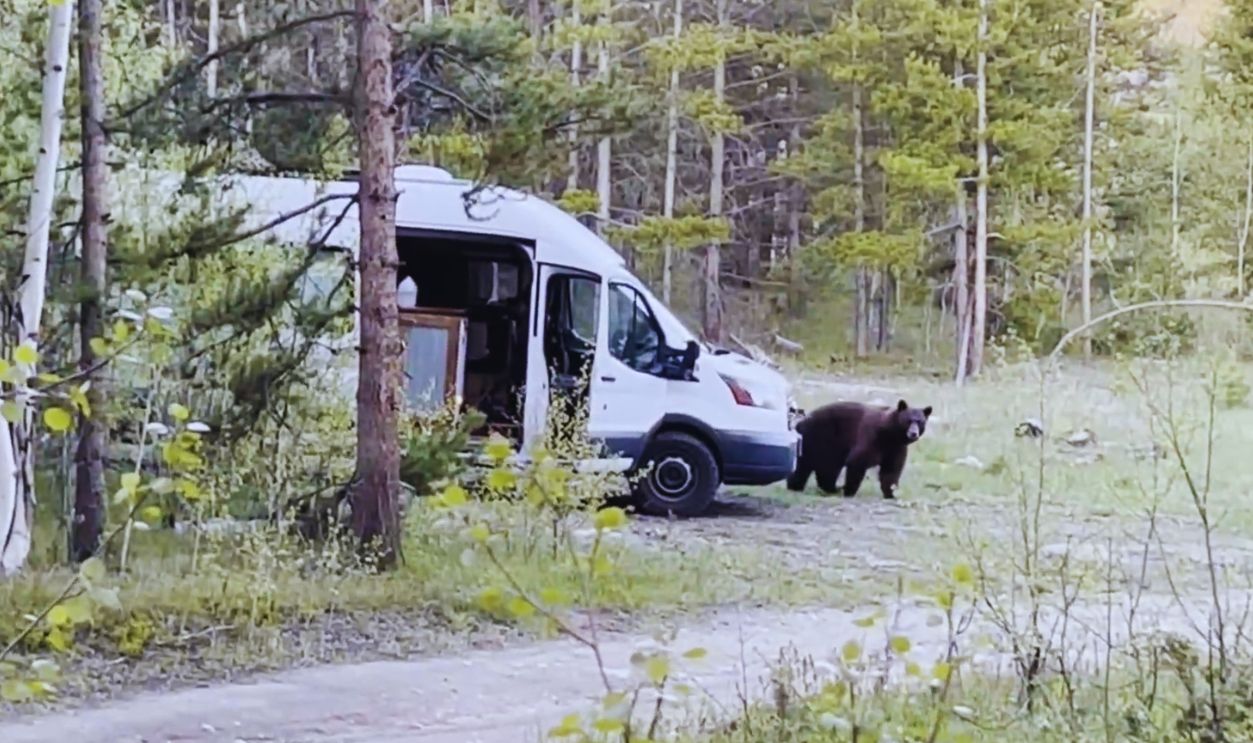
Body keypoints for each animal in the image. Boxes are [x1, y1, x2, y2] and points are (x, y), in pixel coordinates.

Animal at [786, 399, 932, 499]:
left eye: (920, 421)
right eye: (909, 420)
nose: (913, 433)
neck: (890, 434)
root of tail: (800, 422)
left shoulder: (896, 449)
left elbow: (891, 471)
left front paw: (891, 493)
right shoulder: (871, 437)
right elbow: (857, 461)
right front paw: (849, 491)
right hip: (819, 439)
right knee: (809, 466)